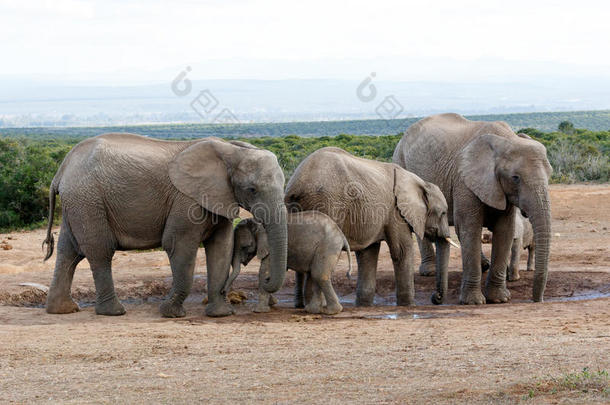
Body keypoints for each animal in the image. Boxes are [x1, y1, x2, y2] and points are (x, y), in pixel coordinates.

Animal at [42, 134, 288, 318]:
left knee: (69, 251)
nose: (266, 280)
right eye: (252, 190)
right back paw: (113, 312)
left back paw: (62, 310)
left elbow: (221, 248)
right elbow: (179, 245)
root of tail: (61, 169)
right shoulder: (186, 200)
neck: (232, 150)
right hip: (88, 200)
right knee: (100, 251)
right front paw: (171, 313)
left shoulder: (220, 197)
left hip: (78, 203)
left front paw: (220, 314)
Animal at [224, 210, 352, 314]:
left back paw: (332, 311)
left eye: (245, 247)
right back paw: (312, 310)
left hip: (328, 246)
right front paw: (272, 303)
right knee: (315, 274)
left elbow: (264, 271)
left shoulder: (270, 246)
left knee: (319, 274)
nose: (223, 291)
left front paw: (258, 311)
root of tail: (341, 235)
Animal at [282, 147, 448, 304]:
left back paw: (301, 305)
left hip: (295, 206)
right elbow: (401, 251)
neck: (420, 183)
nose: (436, 297)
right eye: (443, 213)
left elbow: (368, 253)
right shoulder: (395, 211)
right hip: (325, 201)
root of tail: (297, 183)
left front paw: (364, 304)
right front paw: (407, 305)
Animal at [392, 113, 548, 304]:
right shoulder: (463, 181)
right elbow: (470, 227)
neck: (506, 140)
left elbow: (505, 230)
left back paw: (484, 265)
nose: (537, 300)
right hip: (401, 162)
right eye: (515, 178)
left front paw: (499, 299)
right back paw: (430, 271)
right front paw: (474, 302)